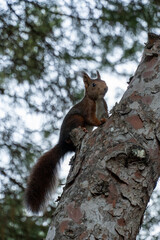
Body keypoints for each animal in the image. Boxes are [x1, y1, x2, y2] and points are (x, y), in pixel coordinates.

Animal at [24, 70, 109, 213]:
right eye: (93, 84)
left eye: (104, 82)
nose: (106, 88)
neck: (96, 100)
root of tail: (62, 143)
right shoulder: (88, 109)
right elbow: (91, 119)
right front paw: (100, 122)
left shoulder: (104, 106)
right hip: (76, 120)